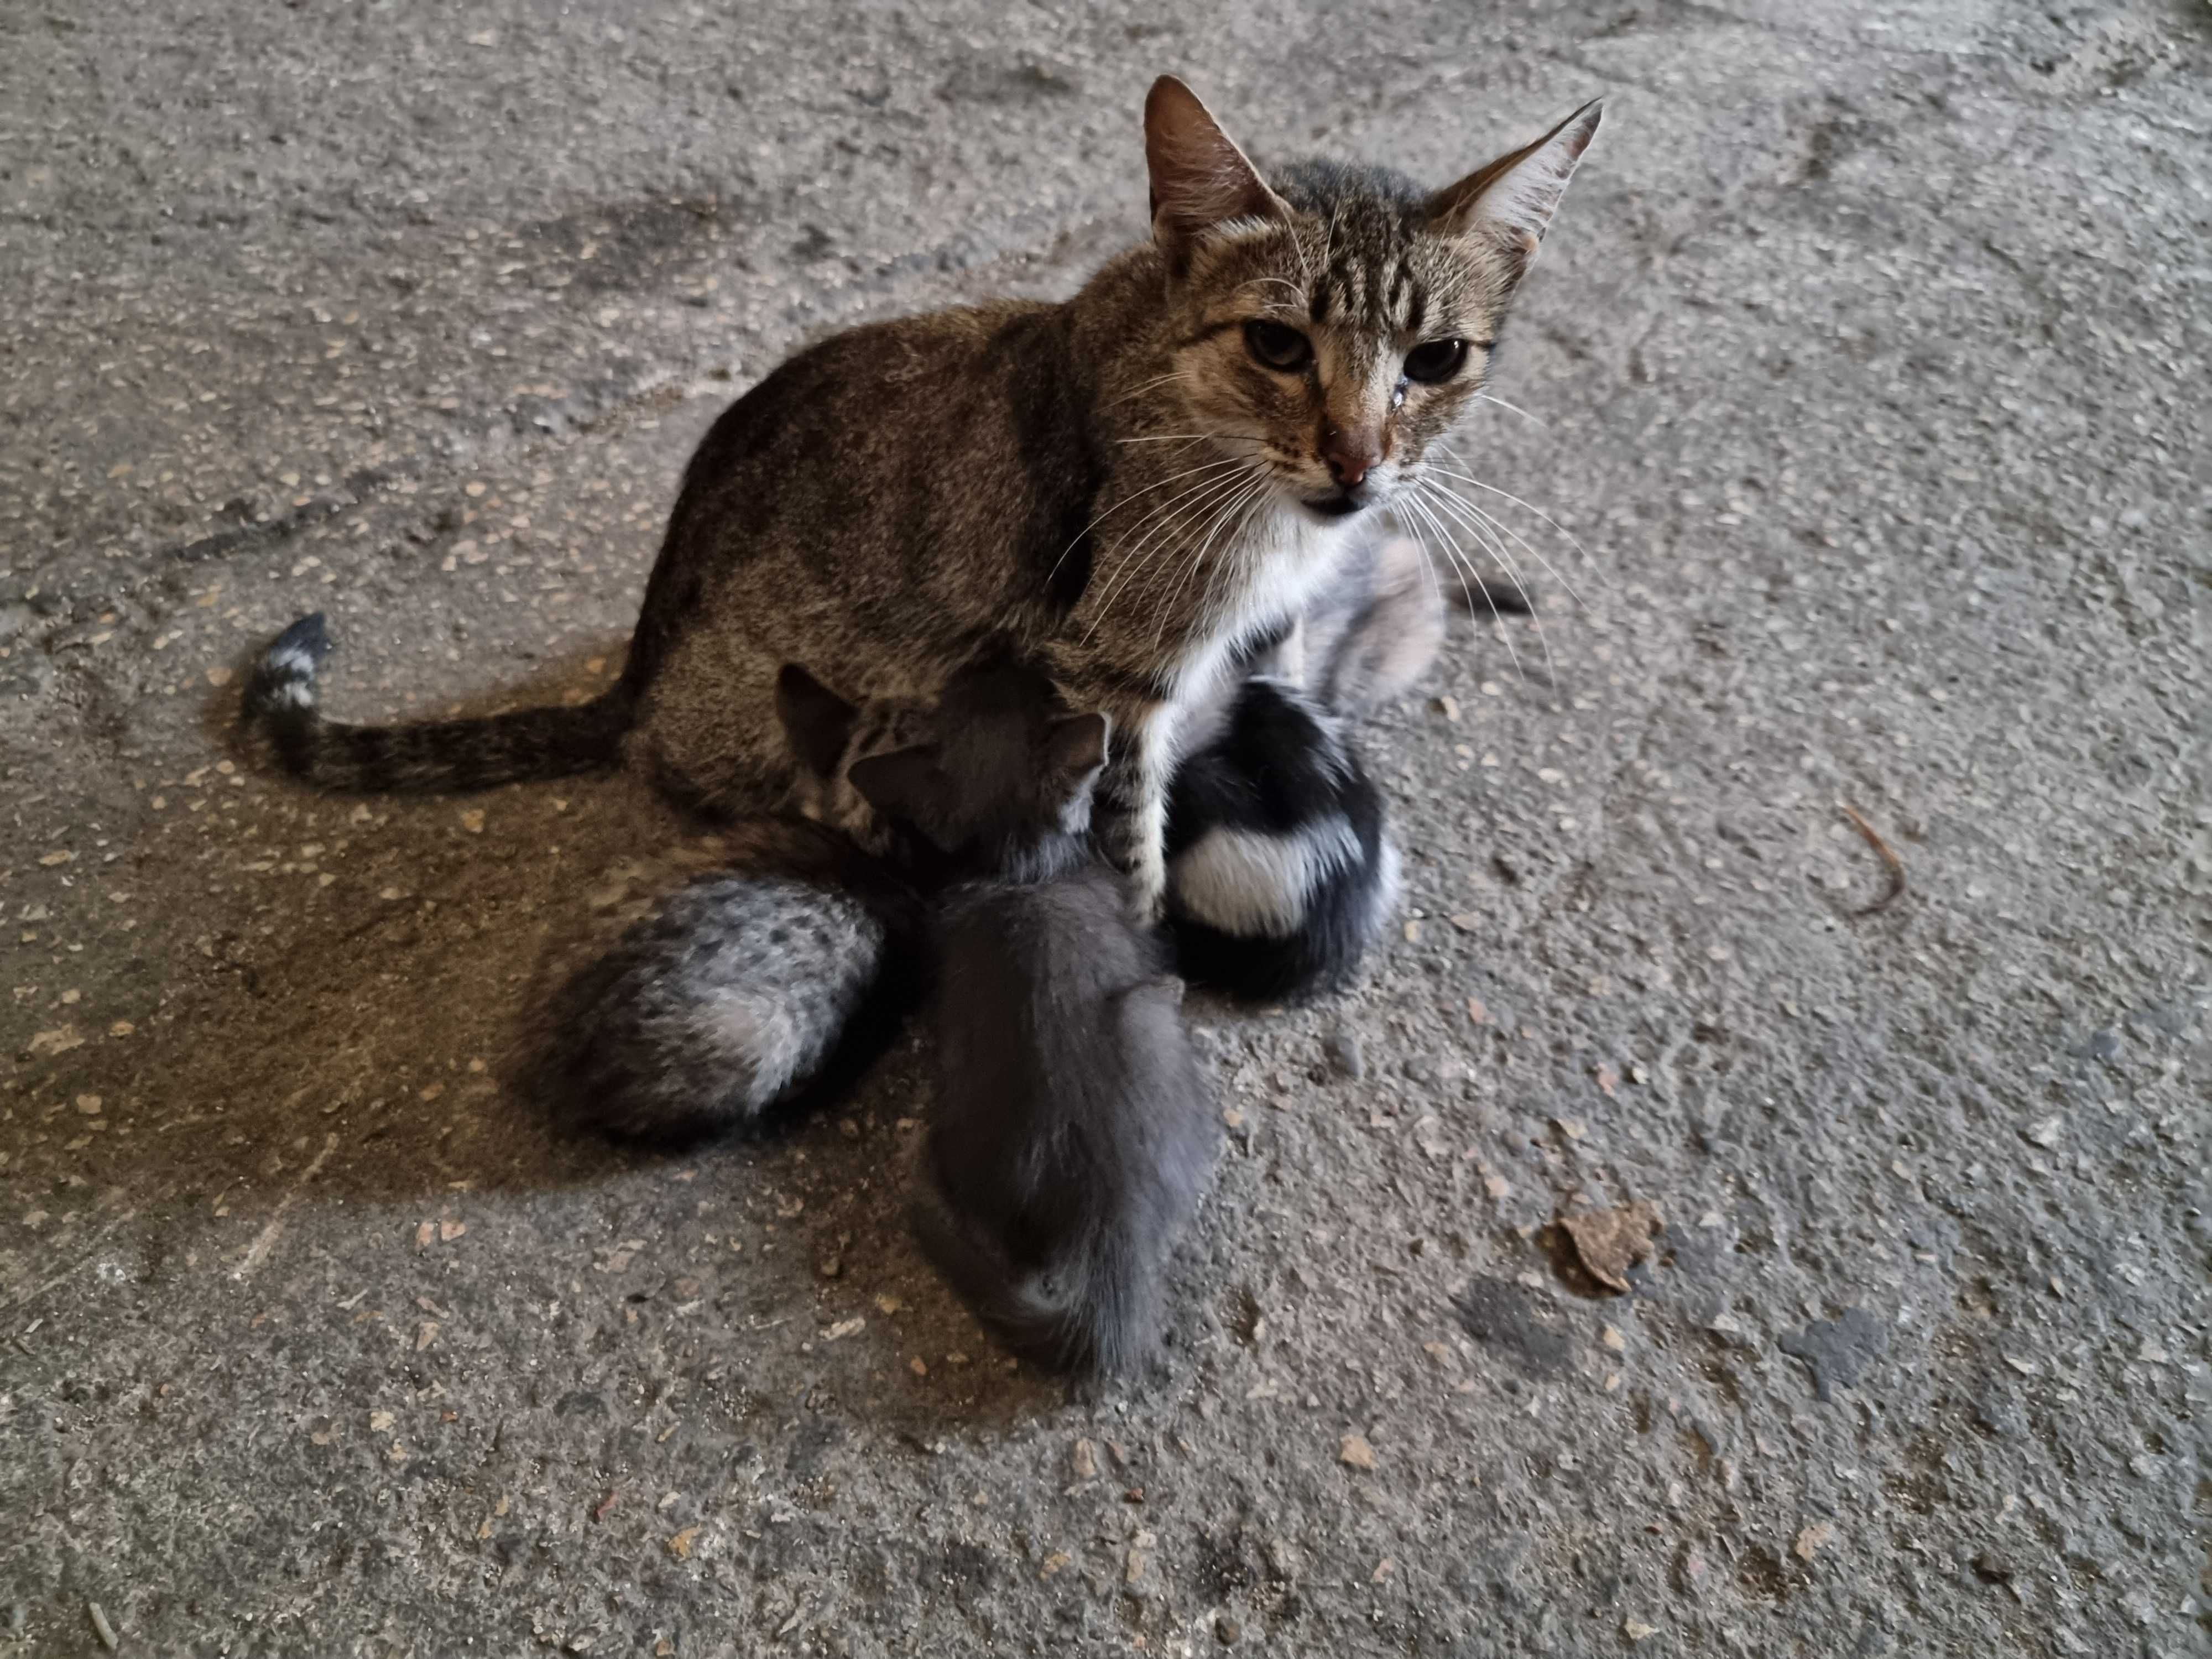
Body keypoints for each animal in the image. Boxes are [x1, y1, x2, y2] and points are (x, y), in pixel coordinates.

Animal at [242, 78, 1601, 925]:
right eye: (1277, 345)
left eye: (1436, 361)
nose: (1359, 461)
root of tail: (634, 670)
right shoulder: (1113, 674)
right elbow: (1128, 827)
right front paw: (1148, 924)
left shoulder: (1255, 628)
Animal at [845, 659, 1230, 1380]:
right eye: (1033, 695)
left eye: (965, 692)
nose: (996, 659)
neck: (1020, 867)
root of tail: (1107, 1225)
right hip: (1154, 1019)